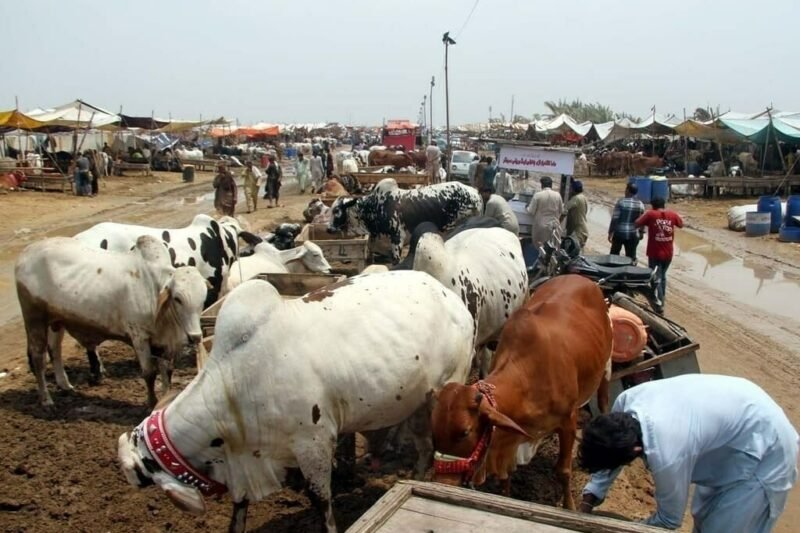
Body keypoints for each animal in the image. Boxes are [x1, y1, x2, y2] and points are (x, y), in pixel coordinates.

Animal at [15, 235, 208, 406]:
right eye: (178, 298)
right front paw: (151, 402)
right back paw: (46, 399)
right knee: (38, 358)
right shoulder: (139, 337)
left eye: (203, 297)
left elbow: (167, 371)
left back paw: (65, 385)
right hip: (34, 319)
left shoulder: (163, 343)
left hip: (57, 321)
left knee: (55, 349)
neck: (154, 288)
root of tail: (24, 255)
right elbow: (149, 373)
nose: (195, 336)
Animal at [114, 270, 476, 532]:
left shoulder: (313, 442)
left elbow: (321, 500)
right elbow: (239, 506)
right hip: (418, 403)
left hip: (448, 389)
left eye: (141, 471)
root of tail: (452, 299)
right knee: (424, 447)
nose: (131, 478)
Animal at [432, 276, 612, 510]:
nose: (442, 482)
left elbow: (563, 471)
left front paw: (570, 507)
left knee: (605, 399)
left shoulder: (568, 421)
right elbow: (505, 477)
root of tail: (582, 278)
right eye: (433, 431)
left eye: (465, 432)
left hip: (606, 364)